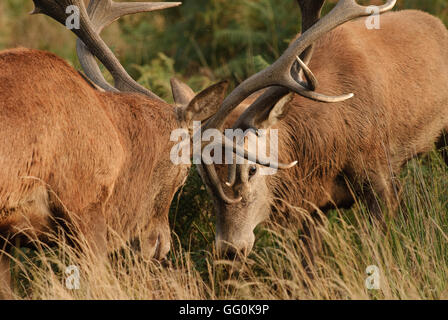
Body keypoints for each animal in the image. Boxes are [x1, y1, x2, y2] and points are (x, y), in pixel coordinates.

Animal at [197, 0, 448, 258]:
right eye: (204, 179)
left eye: (252, 169)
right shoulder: (313, 205)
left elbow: (377, 248)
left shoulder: (380, 174)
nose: (230, 249)